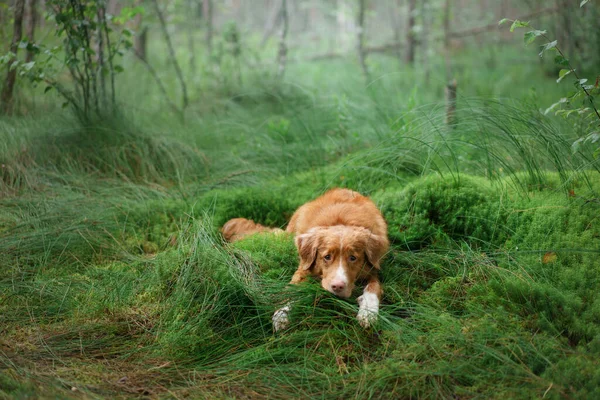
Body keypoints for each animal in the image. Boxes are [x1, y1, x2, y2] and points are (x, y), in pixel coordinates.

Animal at [220, 189, 390, 330]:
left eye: (353, 258)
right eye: (327, 257)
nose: (337, 286)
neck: (342, 222)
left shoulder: (373, 269)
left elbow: (373, 288)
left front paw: (368, 312)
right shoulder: (304, 267)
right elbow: (292, 290)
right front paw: (282, 314)